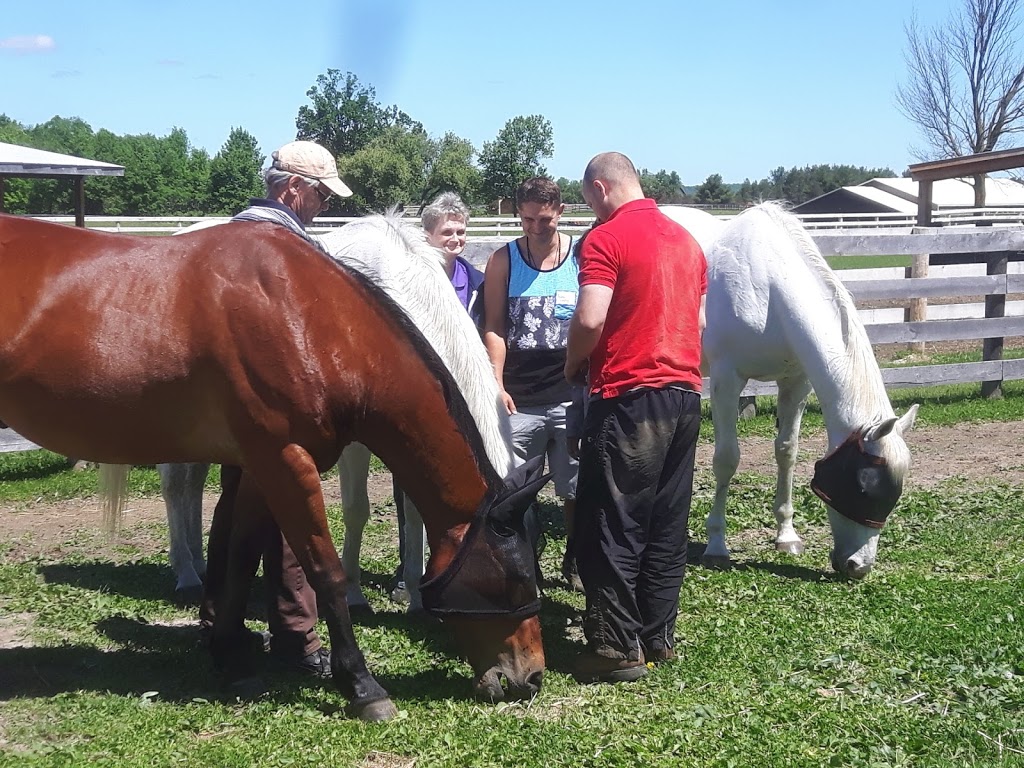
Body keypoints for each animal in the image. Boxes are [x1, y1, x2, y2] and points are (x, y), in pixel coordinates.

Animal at [161, 218, 520, 614]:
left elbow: (415, 510)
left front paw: (413, 593)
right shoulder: (357, 443)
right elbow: (356, 509)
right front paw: (353, 593)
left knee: (193, 484)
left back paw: (199, 563)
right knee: (175, 487)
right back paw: (186, 574)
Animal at [659, 201, 917, 581]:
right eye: (862, 484)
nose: (858, 567)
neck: (769, 288)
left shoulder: (795, 383)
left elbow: (787, 452)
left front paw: (786, 536)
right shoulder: (727, 381)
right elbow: (726, 458)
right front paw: (717, 545)